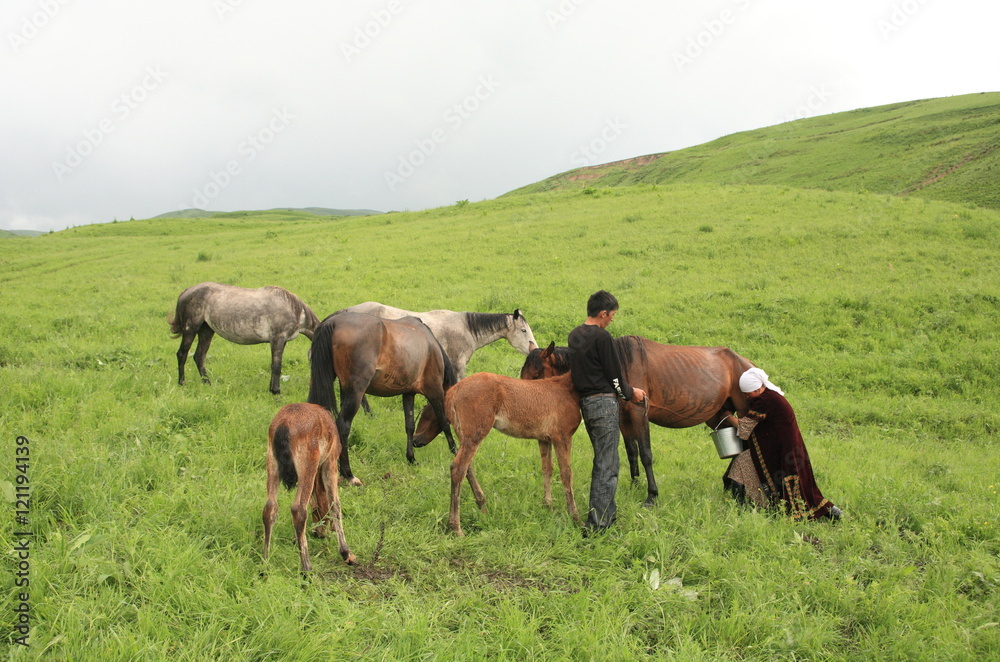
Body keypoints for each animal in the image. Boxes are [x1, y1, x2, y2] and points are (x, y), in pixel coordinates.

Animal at [262, 404, 356, 576]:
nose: (321, 533)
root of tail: (283, 427)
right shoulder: (330, 462)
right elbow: (335, 504)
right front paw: (346, 552)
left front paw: (295, 539)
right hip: (308, 465)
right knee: (298, 509)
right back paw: (307, 568)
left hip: (272, 465)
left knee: (270, 507)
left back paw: (264, 563)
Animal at [306, 314, 458, 486]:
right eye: (427, 416)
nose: (417, 442)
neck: (430, 345)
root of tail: (333, 322)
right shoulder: (435, 391)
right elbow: (445, 422)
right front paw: (455, 451)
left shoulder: (408, 393)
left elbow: (409, 426)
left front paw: (411, 458)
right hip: (355, 391)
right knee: (343, 426)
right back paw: (349, 474)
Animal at [448, 356, 584, 536]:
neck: (565, 389)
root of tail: (454, 391)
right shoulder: (562, 437)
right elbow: (566, 474)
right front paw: (575, 517)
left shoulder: (544, 439)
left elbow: (547, 468)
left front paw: (548, 506)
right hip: (474, 434)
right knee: (458, 468)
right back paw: (456, 528)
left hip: (463, 434)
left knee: (467, 468)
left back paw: (481, 507)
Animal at [520, 338, 752, 508]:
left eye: (537, 374)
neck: (619, 366)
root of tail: (744, 362)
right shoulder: (624, 418)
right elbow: (632, 452)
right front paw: (634, 485)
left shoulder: (640, 414)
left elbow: (646, 455)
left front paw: (652, 495)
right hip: (718, 416)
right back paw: (729, 484)